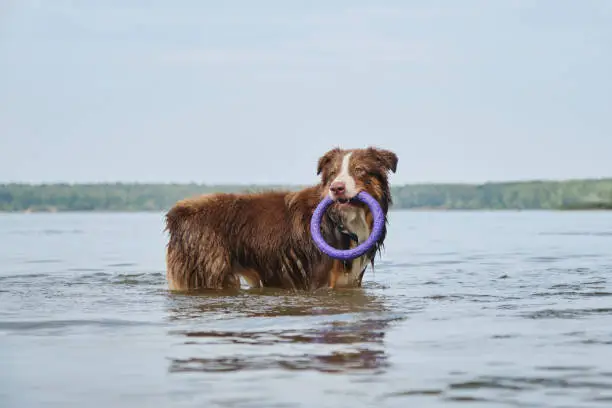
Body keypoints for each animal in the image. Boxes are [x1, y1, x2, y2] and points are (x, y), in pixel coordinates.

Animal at [165, 147, 400, 290]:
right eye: (333, 173)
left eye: (359, 170)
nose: (336, 188)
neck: (341, 221)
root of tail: (177, 212)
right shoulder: (320, 282)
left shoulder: (350, 283)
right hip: (210, 272)